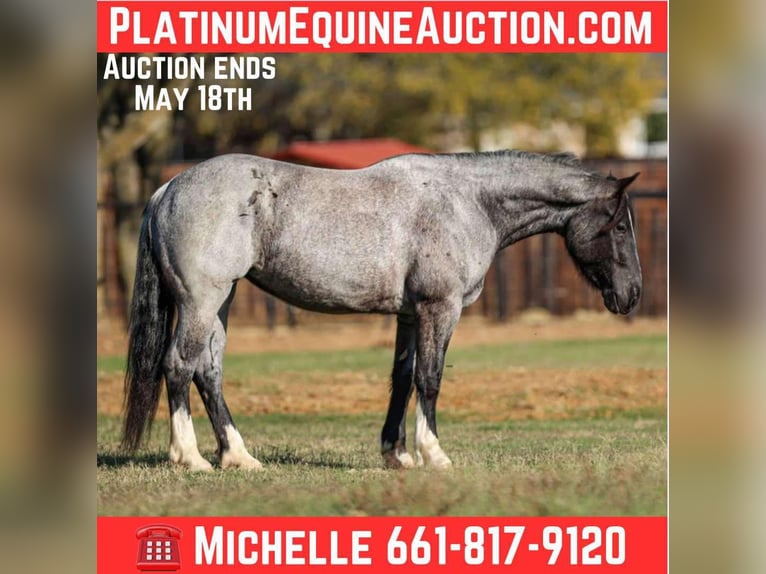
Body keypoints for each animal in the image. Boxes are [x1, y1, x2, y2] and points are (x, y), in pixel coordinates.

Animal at [121, 150, 642, 471]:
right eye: (619, 227)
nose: (632, 294)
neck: (466, 202)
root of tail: (169, 188)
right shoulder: (439, 309)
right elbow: (430, 379)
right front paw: (434, 455)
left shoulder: (410, 315)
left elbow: (403, 378)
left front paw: (397, 455)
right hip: (201, 300)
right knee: (179, 366)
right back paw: (190, 457)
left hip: (220, 301)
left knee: (208, 372)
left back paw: (239, 457)